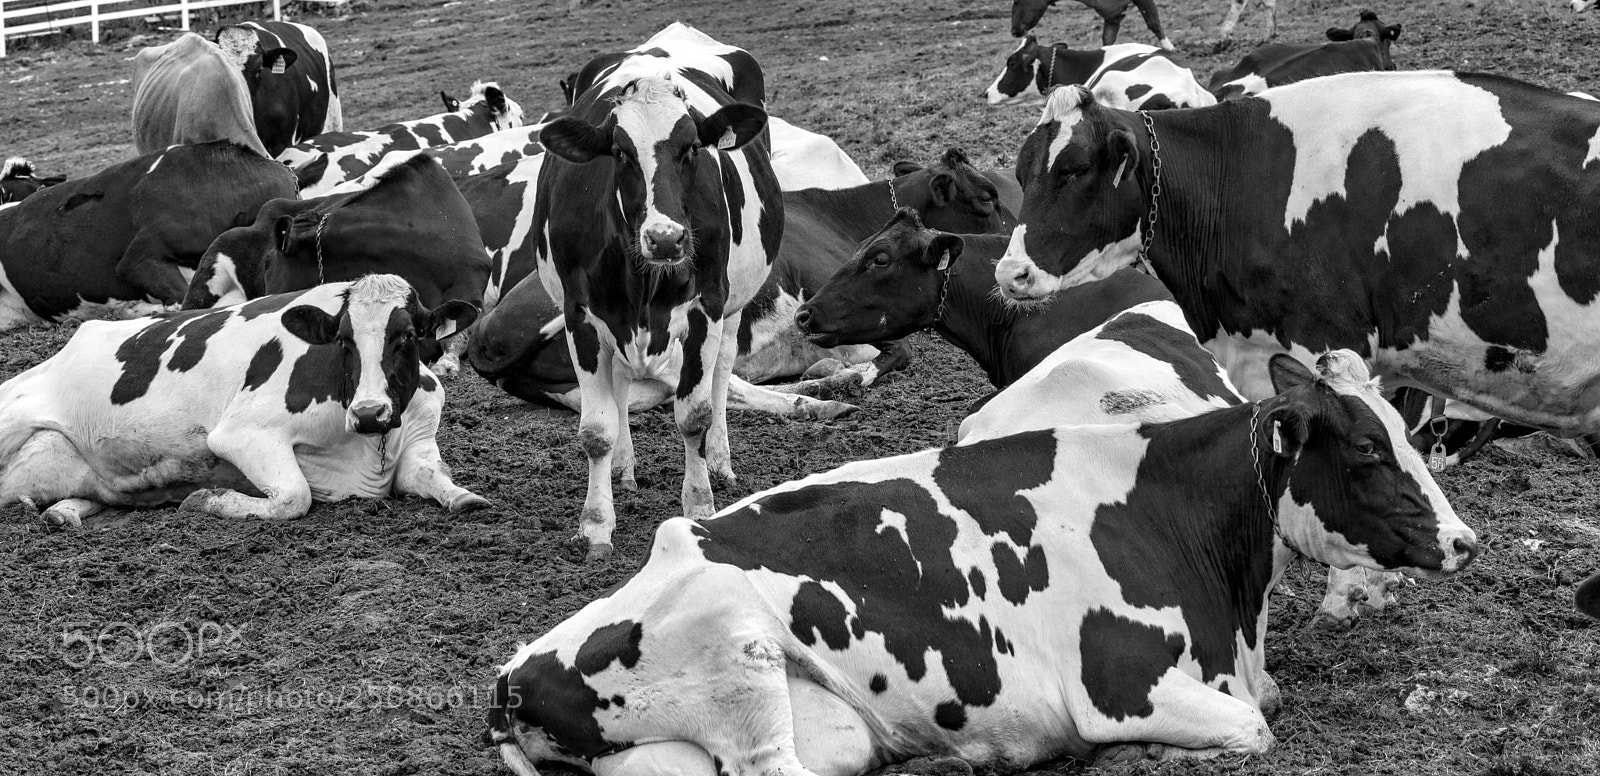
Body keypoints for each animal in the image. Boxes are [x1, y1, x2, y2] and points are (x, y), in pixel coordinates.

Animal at [0, 274, 485, 528]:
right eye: (344, 340)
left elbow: (432, 475)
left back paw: (62, 511)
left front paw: (466, 497)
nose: (368, 414)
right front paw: (205, 499)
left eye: (409, 335)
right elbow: (294, 496)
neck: (366, 447)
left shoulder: (419, 433)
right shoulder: (242, 433)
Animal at [486, 349, 1477, 775]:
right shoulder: (1124, 686)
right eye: (1366, 451)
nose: (1465, 540)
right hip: (741, 652)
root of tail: (509, 675)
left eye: (1407, 433)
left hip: (821, 725)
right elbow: (1251, 728)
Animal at [532, 24, 784, 561]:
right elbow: (596, 430)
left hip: (735, 300)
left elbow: (694, 415)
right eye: (620, 153)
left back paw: (720, 462)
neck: (643, 280)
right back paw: (624, 469)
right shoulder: (582, 316)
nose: (665, 238)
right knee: (621, 387)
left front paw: (700, 506)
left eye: (691, 148)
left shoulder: (706, 308)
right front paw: (596, 525)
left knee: (723, 371)